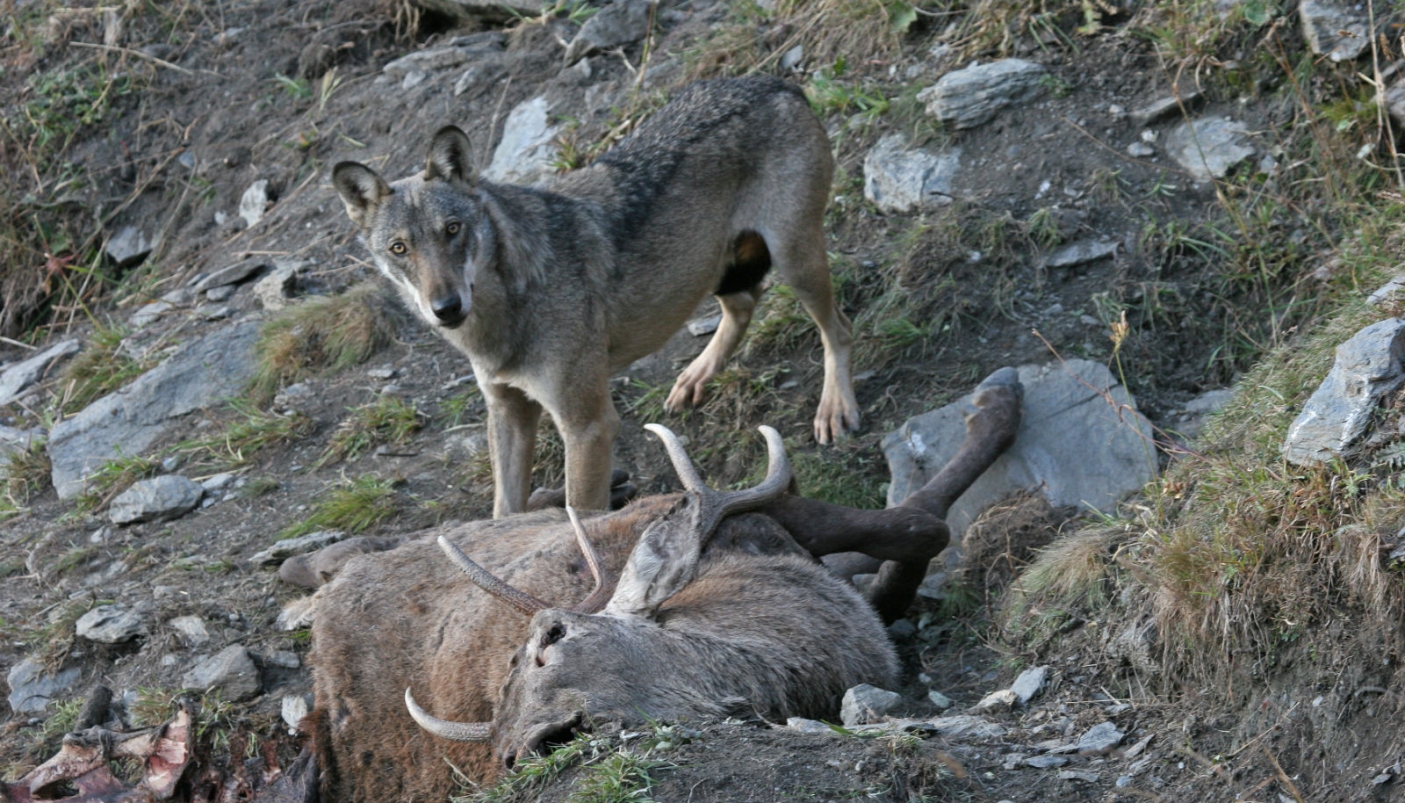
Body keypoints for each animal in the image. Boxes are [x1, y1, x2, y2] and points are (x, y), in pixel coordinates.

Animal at [334, 75, 859, 513]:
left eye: (452, 229)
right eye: (400, 248)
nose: (446, 308)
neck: (506, 318)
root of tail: (776, 81)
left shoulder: (588, 427)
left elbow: (580, 516)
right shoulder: (507, 412)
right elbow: (504, 511)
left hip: (793, 259)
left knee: (838, 328)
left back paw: (835, 407)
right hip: (714, 270)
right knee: (744, 305)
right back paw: (696, 376)